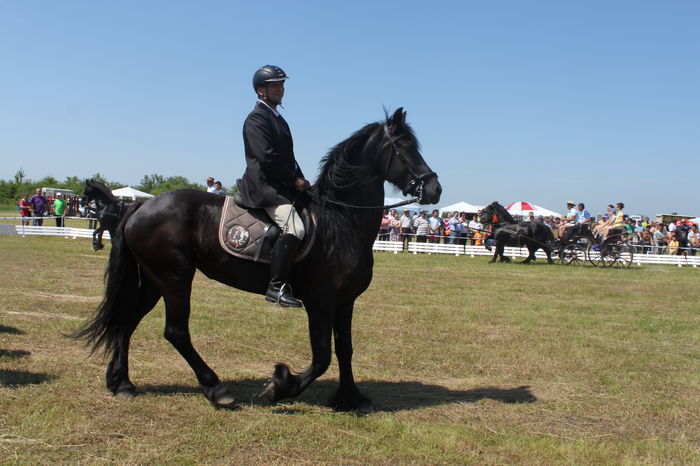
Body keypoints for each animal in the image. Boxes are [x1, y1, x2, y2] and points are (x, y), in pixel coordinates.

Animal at [72, 108, 441, 413]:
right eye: (404, 146)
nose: (434, 189)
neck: (341, 221)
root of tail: (139, 206)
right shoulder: (320, 301)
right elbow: (322, 356)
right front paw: (280, 386)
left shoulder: (344, 301)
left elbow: (345, 349)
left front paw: (351, 397)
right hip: (175, 278)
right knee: (176, 331)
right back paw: (216, 389)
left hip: (153, 280)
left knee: (126, 322)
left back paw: (122, 383)